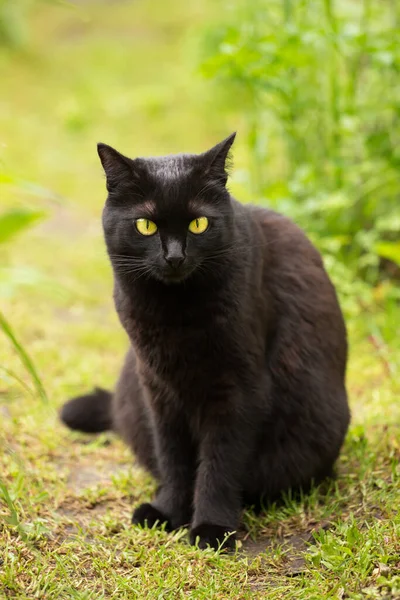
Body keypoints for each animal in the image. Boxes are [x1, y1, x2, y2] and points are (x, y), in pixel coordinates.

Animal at [60, 134, 350, 552]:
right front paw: (167, 512)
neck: (175, 314)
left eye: (199, 224)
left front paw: (212, 527)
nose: (174, 256)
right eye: (146, 225)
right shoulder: (158, 390)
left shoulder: (237, 391)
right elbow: (174, 459)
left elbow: (219, 464)